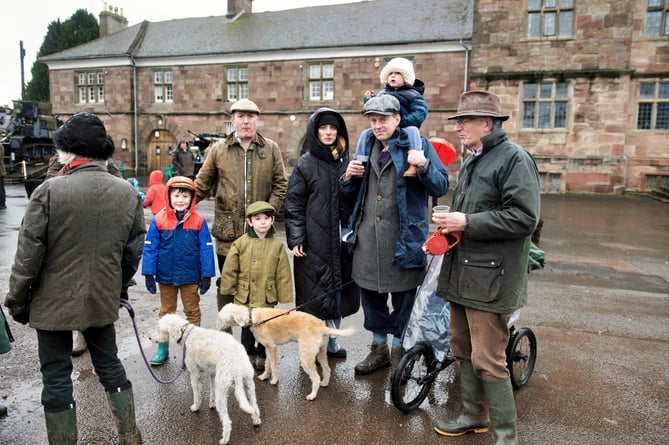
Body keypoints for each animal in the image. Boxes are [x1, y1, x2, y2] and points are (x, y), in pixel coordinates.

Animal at [149, 312, 260, 444]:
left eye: (159, 329)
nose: (149, 338)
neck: (186, 334)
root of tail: (236, 364)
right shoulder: (213, 374)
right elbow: (211, 390)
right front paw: (211, 404)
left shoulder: (195, 374)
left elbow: (197, 394)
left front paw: (196, 407)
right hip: (249, 385)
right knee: (255, 407)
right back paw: (256, 421)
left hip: (222, 391)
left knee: (227, 421)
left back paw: (224, 439)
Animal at [218, 304, 354, 400]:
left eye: (220, 318)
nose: (216, 327)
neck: (253, 318)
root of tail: (322, 326)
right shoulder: (268, 348)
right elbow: (267, 365)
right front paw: (264, 376)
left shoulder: (272, 348)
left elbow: (273, 366)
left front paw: (274, 381)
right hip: (321, 353)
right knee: (327, 369)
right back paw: (324, 383)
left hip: (305, 357)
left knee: (316, 378)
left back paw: (312, 395)